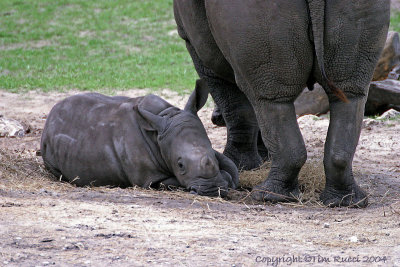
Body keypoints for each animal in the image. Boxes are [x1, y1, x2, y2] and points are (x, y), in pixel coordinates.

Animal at [40, 79, 238, 197]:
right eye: (180, 165)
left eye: (213, 155)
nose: (212, 190)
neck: (165, 117)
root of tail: (49, 116)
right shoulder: (149, 178)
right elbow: (168, 182)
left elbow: (230, 171)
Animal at [173, 0, 390, 207]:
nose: (215, 118)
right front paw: (262, 159)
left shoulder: (196, 46)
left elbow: (235, 106)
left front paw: (240, 165)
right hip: (361, 6)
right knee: (350, 95)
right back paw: (346, 201)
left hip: (253, 11)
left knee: (270, 100)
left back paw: (267, 196)